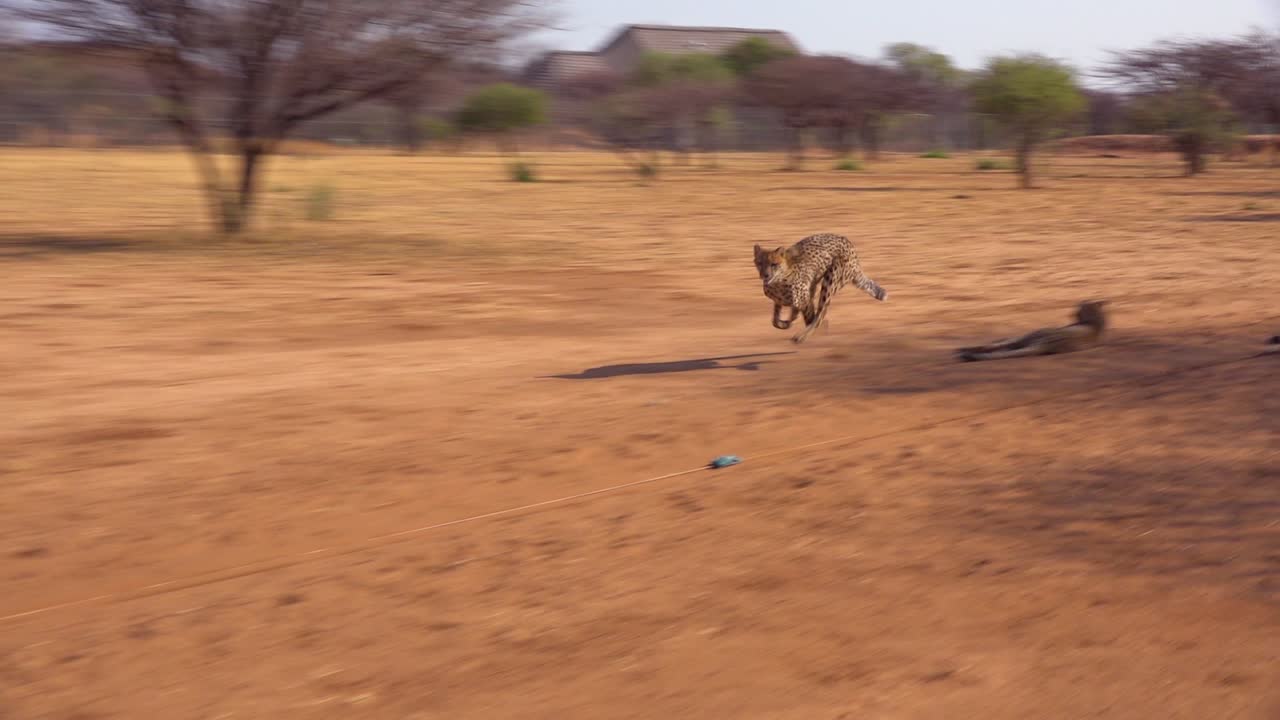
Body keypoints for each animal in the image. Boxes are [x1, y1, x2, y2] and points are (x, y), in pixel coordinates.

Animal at [753, 233, 888, 345]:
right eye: (759, 263)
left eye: (773, 264)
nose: (765, 275)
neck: (779, 280)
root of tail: (847, 242)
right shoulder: (783, 300)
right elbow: (776, 320)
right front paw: (784, 323)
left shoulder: (804, 298)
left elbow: (809, 316)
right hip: (816, 284)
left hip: (830, 280)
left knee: (820, 315)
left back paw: (801, 337)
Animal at [955, 300, 1108, 362]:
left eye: (1077, 311)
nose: (1071, 314)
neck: (1094, 321)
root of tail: (1047, 345)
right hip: (1029, 338)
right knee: (1003, 348)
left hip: (1032, 334)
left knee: (1000, 347)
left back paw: (964, 351)